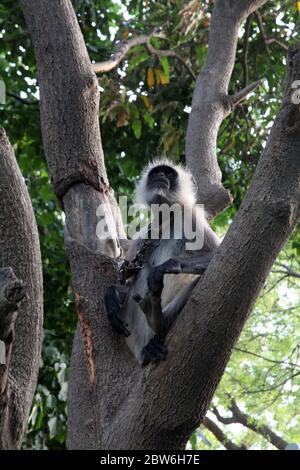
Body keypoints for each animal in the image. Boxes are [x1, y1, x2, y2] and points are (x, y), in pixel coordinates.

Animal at [105, 160, 220, 366]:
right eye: (156, 173)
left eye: (169, 174)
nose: (161, 176)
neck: (167, 218)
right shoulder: (143, 236)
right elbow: (128, 280)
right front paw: (111, 295)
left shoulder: (190, 216)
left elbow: (216, 254)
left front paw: (166, 266)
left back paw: (160, 323)